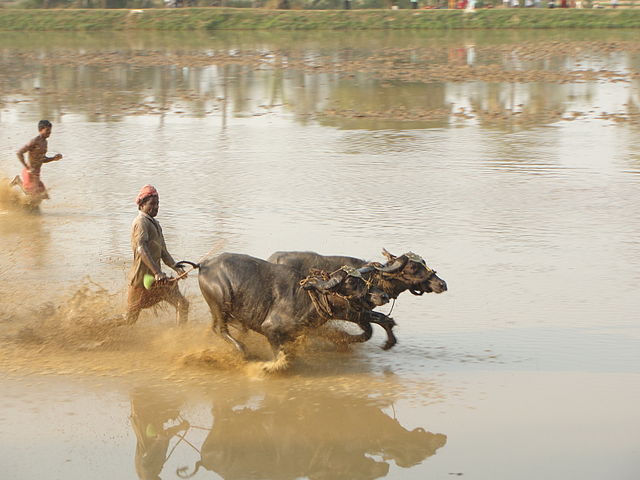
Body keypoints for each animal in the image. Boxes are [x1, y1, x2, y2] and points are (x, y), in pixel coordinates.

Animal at [183, 253, 389, 371]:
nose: (383, 295)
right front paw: (269, 367)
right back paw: (244, 352)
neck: (307, 297)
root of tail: (204, 265)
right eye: (351, 282)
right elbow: (283, 357)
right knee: (220, 329)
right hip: (220, 302)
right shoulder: (270, 329)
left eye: (363, 278)